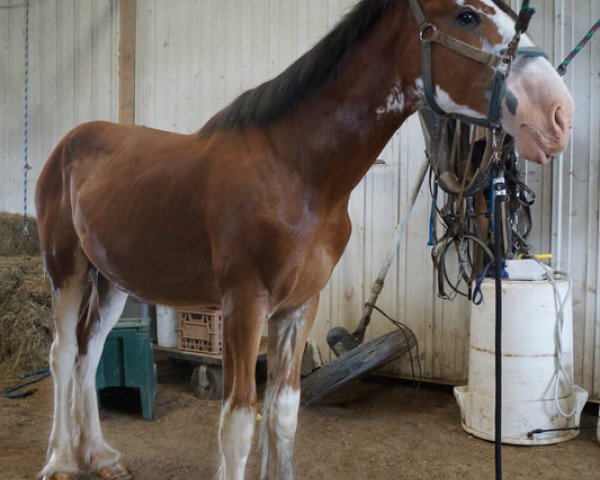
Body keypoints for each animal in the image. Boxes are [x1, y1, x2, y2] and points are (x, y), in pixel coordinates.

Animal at [35, 0, 576, 480]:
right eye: (466, 16)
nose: (559, 114)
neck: (297, 171)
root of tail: (69, 144)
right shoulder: (244, 305)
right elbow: (238, 424)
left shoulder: (299, 307)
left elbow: (284, 414)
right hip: (67, 271)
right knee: (62, 355)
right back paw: (60, 462)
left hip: (111, 280)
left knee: (89, 353)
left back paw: (101, 457)